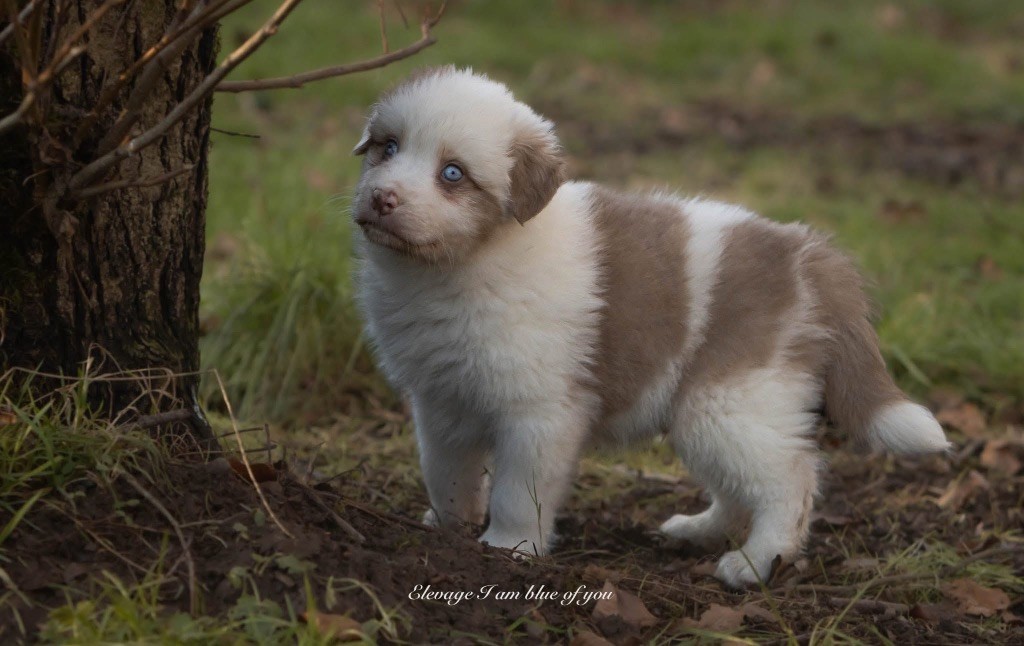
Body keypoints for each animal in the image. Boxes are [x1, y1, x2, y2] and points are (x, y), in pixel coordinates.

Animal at [350, 67, 949, 588]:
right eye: (388, 147)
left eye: (452, 173)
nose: (382, 198)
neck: (457, 266)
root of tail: (810, 255)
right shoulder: (441, 399)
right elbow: (445, 470)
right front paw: (446, 526)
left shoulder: (539, 413)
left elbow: (520, 492)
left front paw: (508, 548)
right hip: (709, 410)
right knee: (742, 487)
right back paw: (697, 531)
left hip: (731, 400)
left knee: (791, 479)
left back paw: (754, 564)